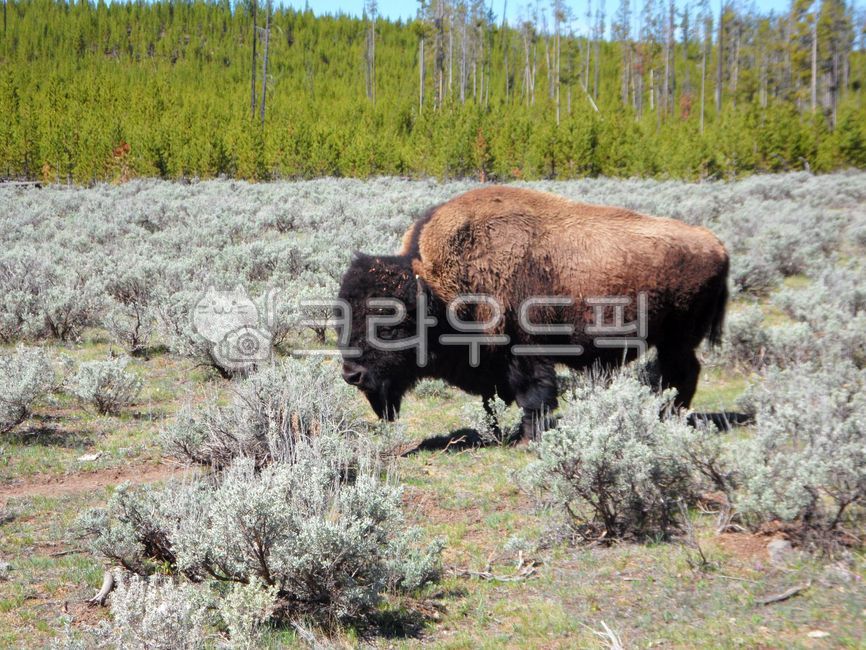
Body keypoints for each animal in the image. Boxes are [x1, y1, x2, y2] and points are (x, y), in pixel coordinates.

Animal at [338, 186, 729, 441]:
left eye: (391, 325)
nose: (352, 374)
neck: (444, 288)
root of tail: (715, 243)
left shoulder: (527, 351)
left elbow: (533, 394)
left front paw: (526, 436)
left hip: (676, 339)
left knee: (681, 374)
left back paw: (667, 416)